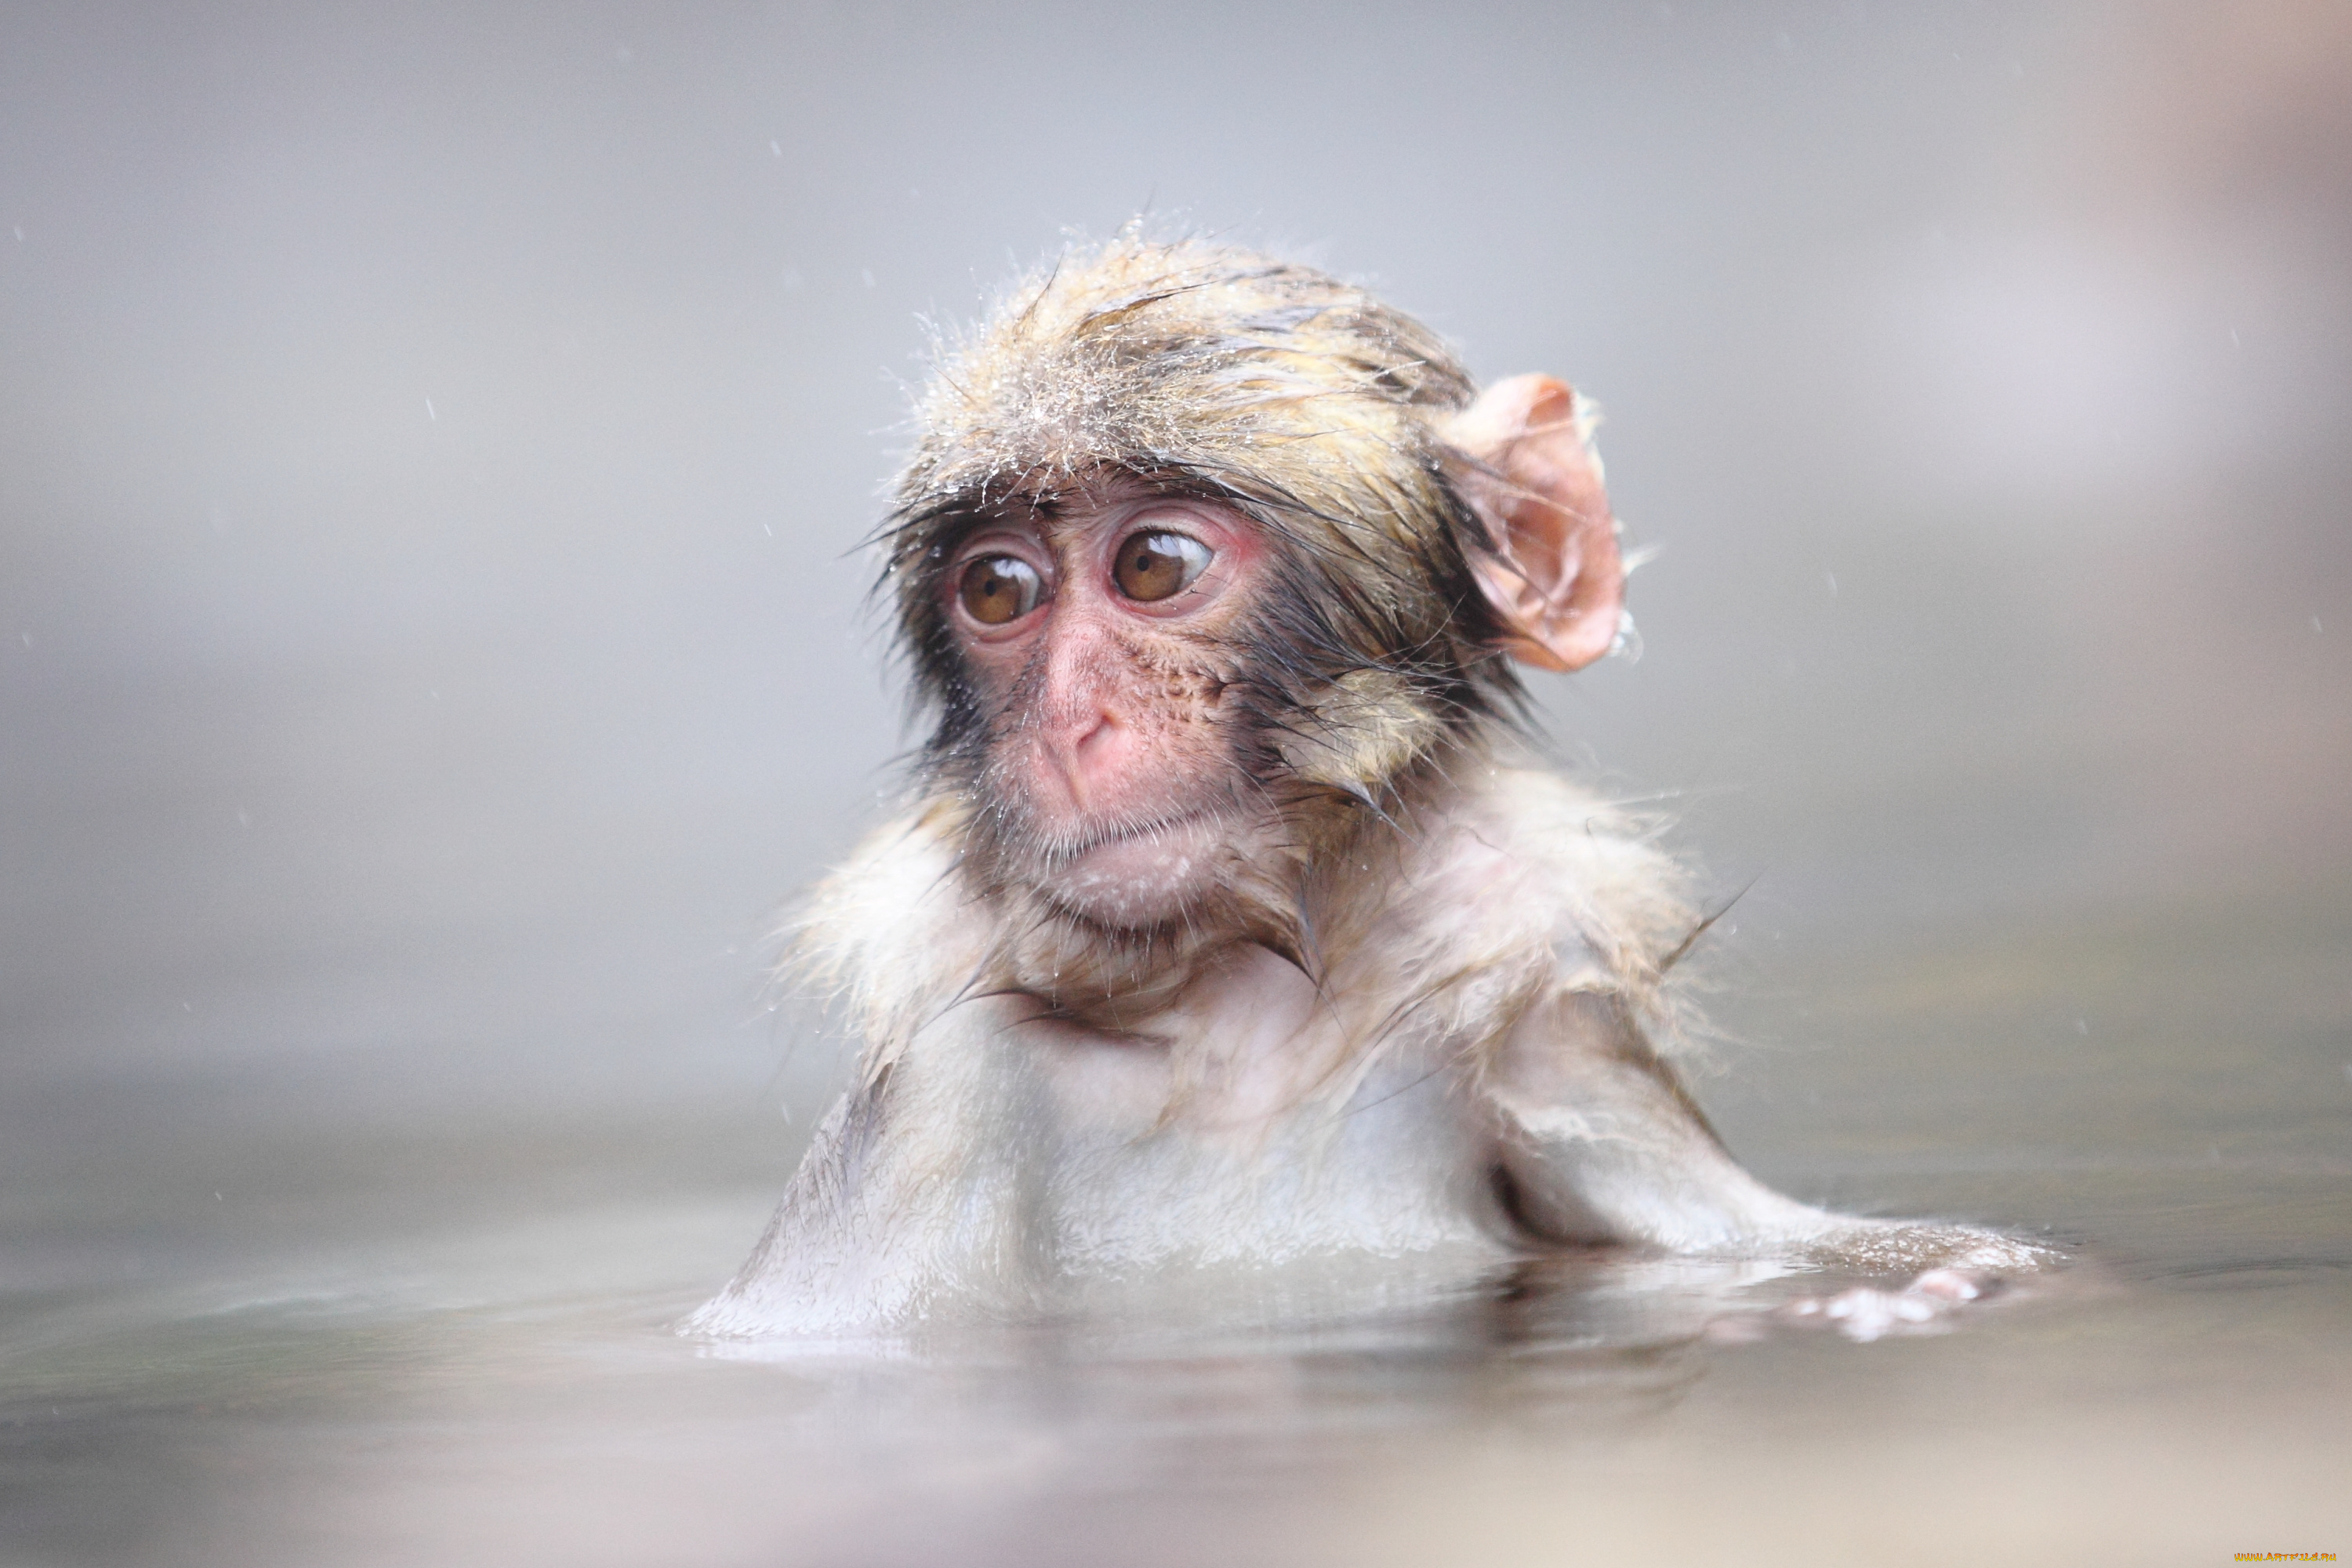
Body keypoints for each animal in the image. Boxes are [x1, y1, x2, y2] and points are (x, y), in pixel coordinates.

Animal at [688, 234, 2047, 1340]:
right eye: (999, 588)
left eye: (1154, 563)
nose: (1071, 724)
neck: (1243, 1039)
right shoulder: (941, 1093)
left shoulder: (1558, 1051)